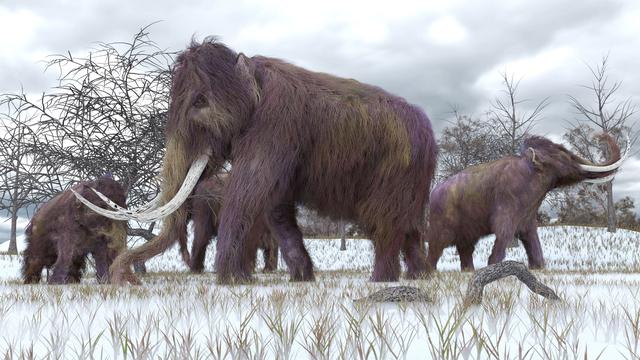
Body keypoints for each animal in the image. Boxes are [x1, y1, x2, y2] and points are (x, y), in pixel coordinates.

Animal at [428, 134, 624, 270]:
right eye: (562, 154)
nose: (598, 135)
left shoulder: (528, 211)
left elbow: (530, 235)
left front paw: (538, 267)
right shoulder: (507, 199)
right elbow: (504, 231)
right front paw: (493, 267)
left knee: (466, 247)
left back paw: (467, 271)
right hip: (441, 219)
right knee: (437, 246)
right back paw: (428, 273)